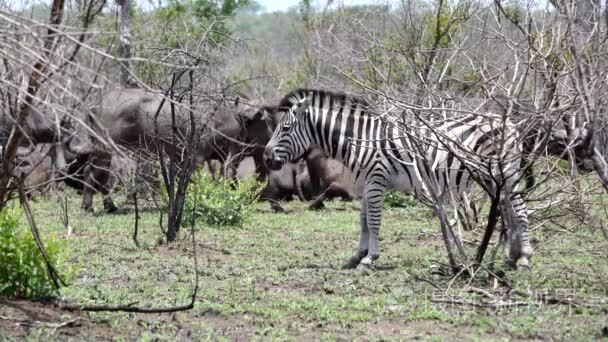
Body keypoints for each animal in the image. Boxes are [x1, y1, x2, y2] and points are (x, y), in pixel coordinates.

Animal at [262, 88, 532, 270]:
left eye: (285, 129)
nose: (266, 157)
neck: (360, 139)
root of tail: (508, 122)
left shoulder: (376, 180)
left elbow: (374, 222)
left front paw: (369, 259)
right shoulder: (366, 182)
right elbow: (363, 220)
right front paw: (357, 256)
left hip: (507, 172)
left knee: (519, 211)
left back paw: (525, 258)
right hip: (492, 178)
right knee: (506, 211)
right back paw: (511, 255)